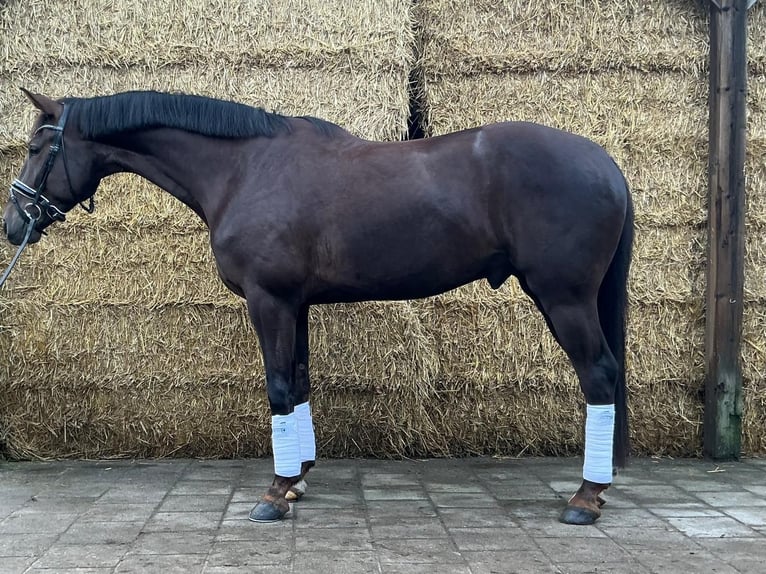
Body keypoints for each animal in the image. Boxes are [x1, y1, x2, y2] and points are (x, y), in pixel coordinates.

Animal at [3, 89, 633, 525]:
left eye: (36, 148)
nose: (14, 225)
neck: (245, 169)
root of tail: (605, 164)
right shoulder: (295, 304)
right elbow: (300, 382)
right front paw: (297, 480)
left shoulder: (270, 301)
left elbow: (279, 386)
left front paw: (275, 495)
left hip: (564, 298)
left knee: (600, 377)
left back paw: (585, 499)